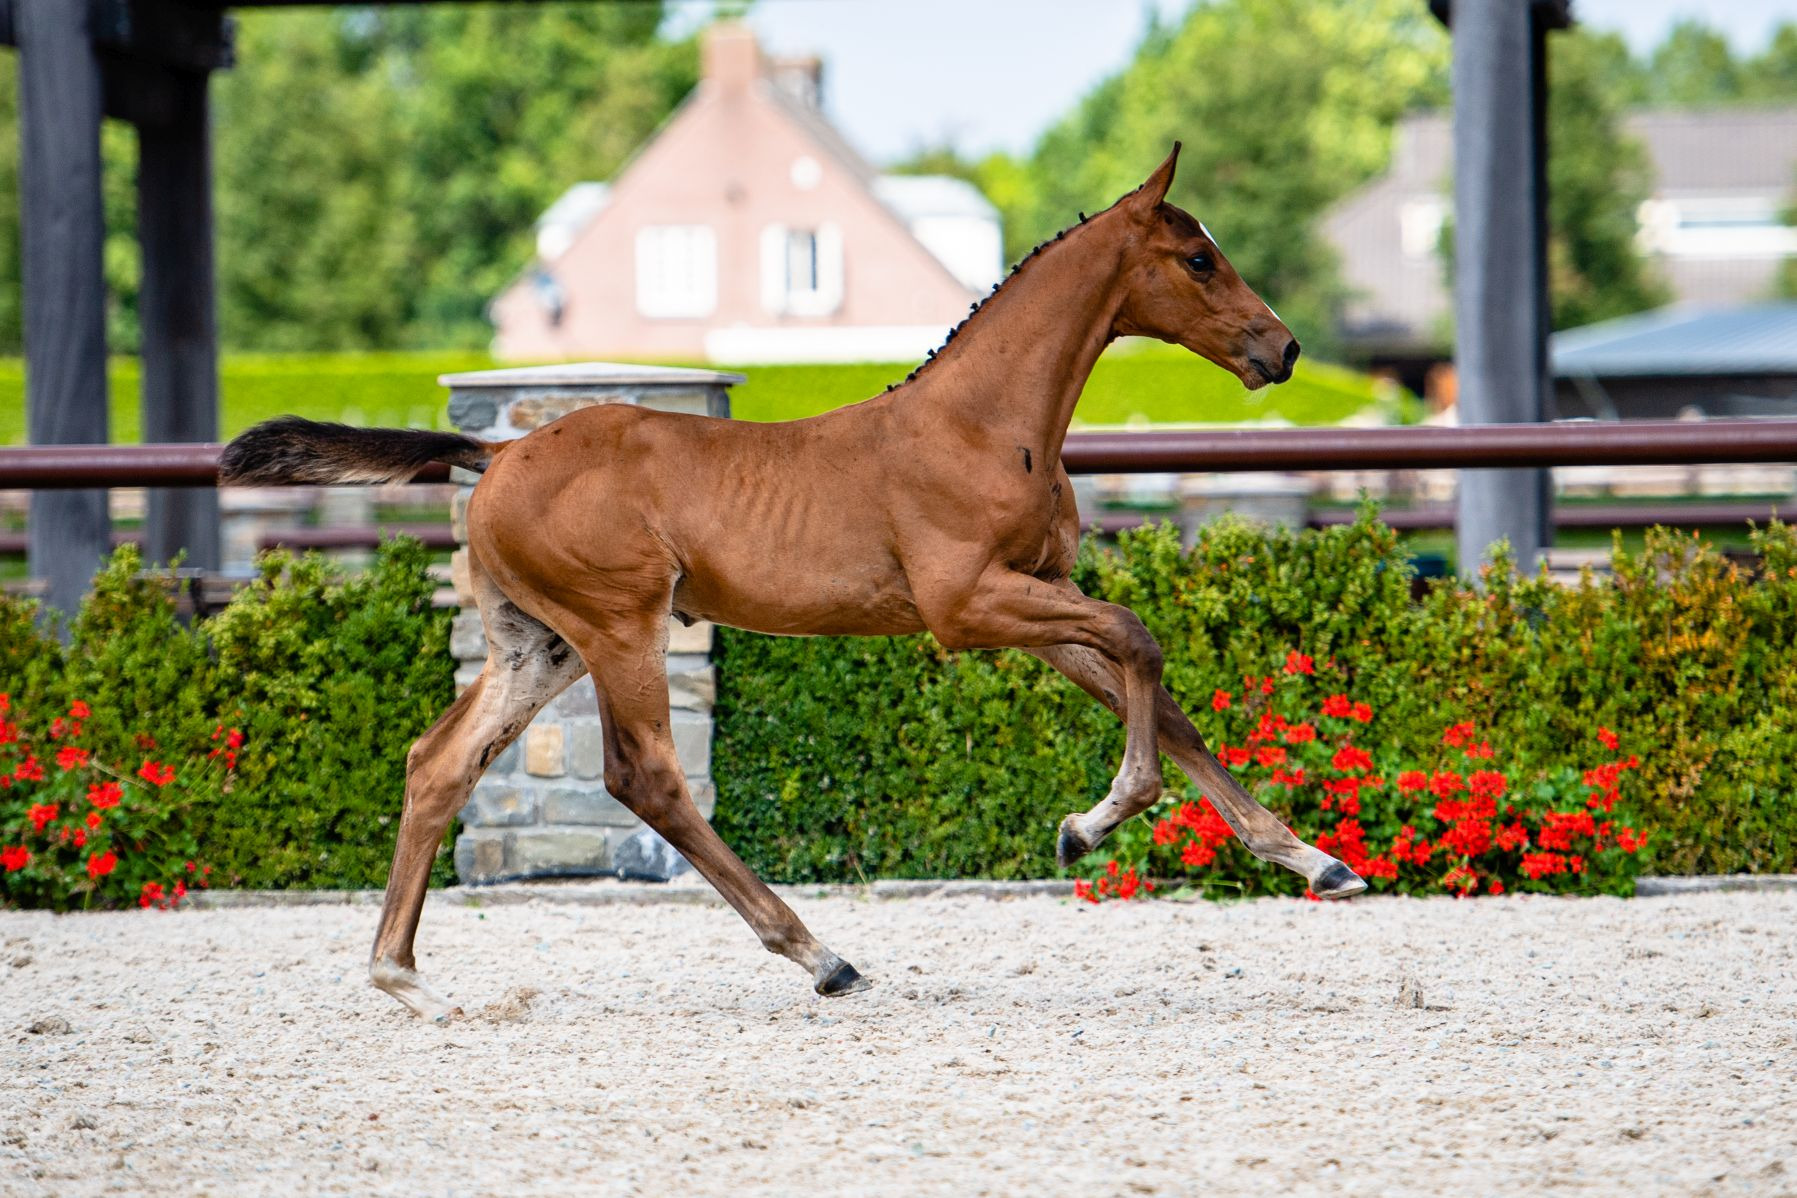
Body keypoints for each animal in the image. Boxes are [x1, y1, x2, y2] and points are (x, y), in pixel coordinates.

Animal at [220, 145, 1367, 1021]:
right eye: (1198, 258)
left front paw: (1316, 861)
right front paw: (1093, 820)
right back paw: (822, 955)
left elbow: (1161, 697)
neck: (982, 424)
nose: (1282, 348)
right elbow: (1139, 638)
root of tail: (495, 456)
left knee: (438, 764)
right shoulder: (966, 607)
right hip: (620, 623)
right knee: (645, 777)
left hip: (535, 643)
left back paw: (402, 975)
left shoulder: (1034, 600)